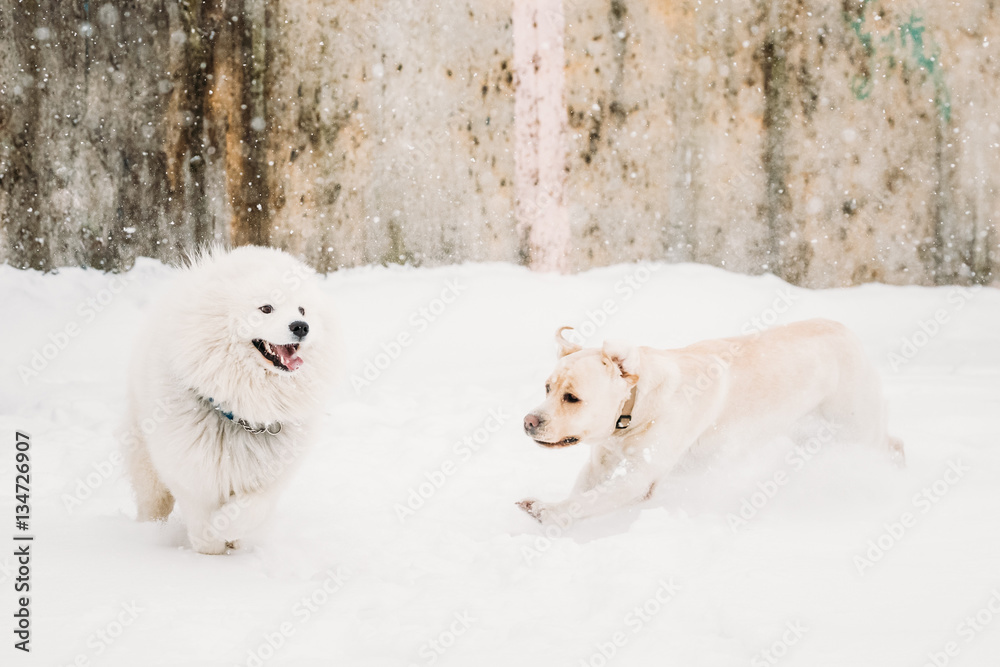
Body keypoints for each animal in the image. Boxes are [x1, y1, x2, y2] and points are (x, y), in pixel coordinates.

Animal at [123, 245, 336, 552]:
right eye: (266, 308)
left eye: (302, 309)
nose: (301, 326)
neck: (244, 408)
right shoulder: (190, 468)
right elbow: (201, 518)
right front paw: (210, 546)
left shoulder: (270, 474)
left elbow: (250, 510)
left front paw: (229, 532)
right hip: (145, 458)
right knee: (152, 501)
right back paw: (149, 534)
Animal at [520, 320, 904, 524]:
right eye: (548, 388)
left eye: (572, 397)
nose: (528, 422)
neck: (632, 411)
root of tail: (845, 331)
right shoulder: (600, 463)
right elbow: (582, 489)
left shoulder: (638, 478)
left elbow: (587, 501)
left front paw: (549, 511)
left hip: (857, 430)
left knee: (892, 446)